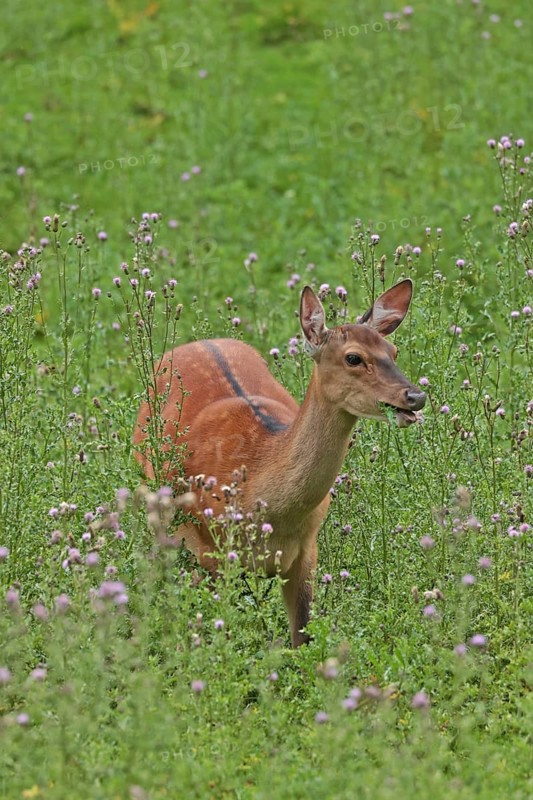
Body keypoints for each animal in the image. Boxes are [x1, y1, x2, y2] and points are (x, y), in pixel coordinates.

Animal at [133, 279, 426, 647]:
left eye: (394, 352)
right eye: (353, 357)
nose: (416, 396)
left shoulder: (307, 550)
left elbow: (303, 636)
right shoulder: (209, 549)